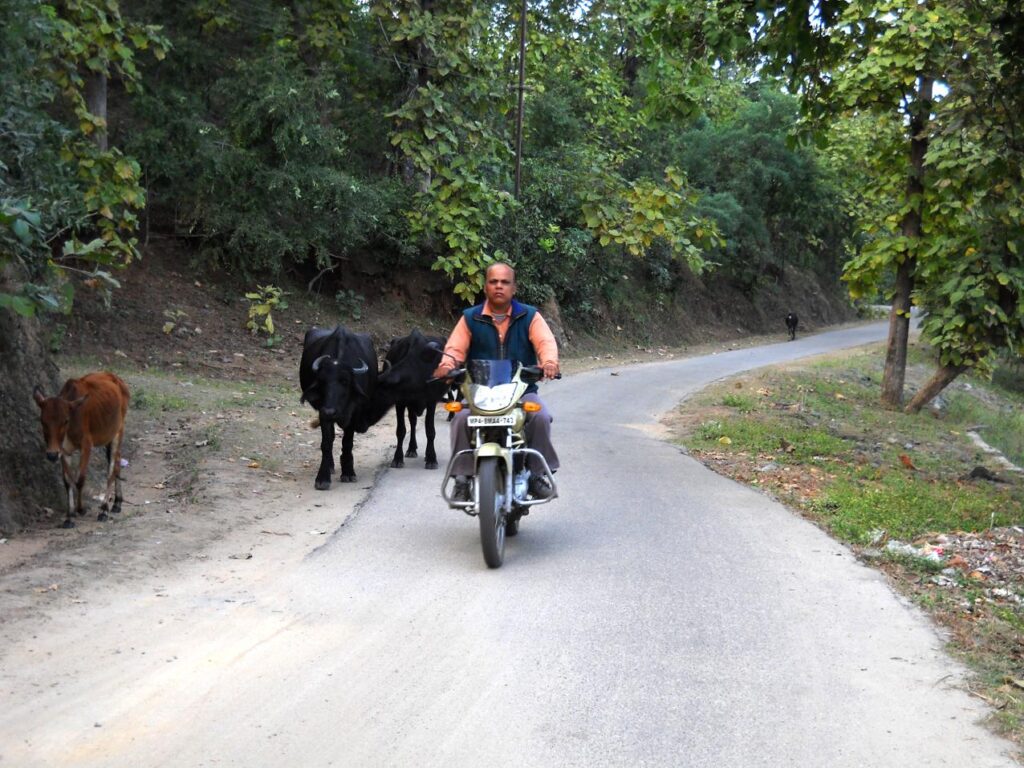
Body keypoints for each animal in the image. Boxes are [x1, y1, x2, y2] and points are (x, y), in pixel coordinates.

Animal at [32, 372, 129, 528]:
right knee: (118, 462)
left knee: (111, 469)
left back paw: (104, 509)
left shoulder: (86, 445)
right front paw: (69, 517)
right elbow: (67, 481)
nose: (51, 455)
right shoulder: (63, 450)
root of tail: (116, 378)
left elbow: (80, 479)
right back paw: (117, 503)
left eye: (65, 420)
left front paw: (81, 509)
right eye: (43, 421)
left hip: (118, 431)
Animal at [301, 327, 389, 489]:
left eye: (345, 381)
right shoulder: (323, 412)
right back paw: (330, 466)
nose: (330, 411)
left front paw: (348, 472)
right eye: (322, 381)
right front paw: (323, 477)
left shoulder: (354, 413)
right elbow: (326, 443)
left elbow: (347, 443)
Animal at [378, 329, 450, 468]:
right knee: (413, 422)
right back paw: (411, 449)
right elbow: (401, 431)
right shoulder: (400, 402)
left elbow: (430, 430)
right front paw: (397, 458)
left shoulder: (432, 401)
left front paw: (431, 458)